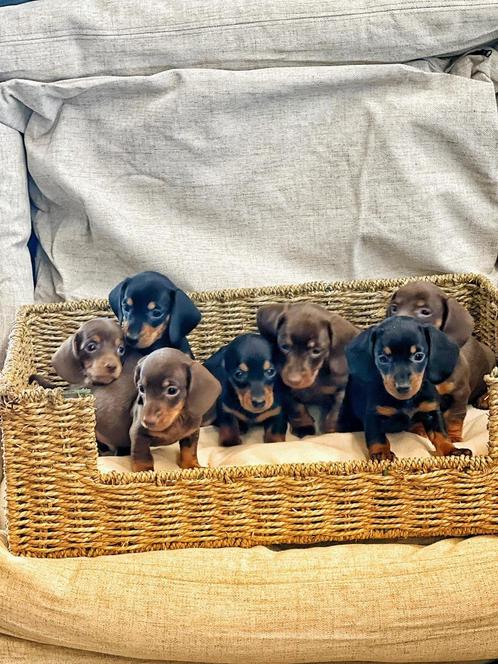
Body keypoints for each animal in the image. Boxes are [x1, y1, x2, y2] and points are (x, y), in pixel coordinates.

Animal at [256, 300, 358, 436]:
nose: (293, 380)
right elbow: (297, 408)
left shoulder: (341, 389)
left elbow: (335, 414)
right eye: (285, 346)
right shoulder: (284, 388)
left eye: (316, 351)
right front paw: (304, 426)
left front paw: (331, 432)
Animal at [340, 316, 472, 462]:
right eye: (383, 358)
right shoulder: (373, 415)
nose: (402, 387)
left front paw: (452, 450)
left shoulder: (432, 411)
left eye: (418, 356)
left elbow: (441, 434)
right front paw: (382, 453)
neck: (406, 401)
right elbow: (378, 437)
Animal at [388, 280, 496, 440]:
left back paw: (484, 400)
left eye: (425, 312)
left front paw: (454, 437)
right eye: (394, 308)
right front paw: (419, 429)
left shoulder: (460, 393)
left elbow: (454, 416)